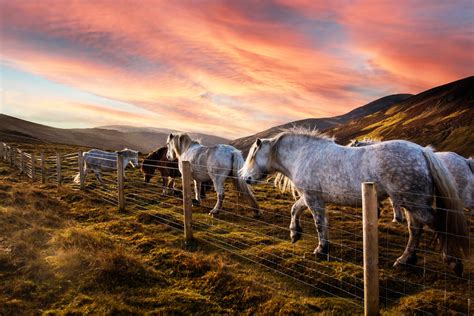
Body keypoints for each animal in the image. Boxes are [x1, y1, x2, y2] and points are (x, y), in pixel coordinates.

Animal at [243, 130, 468, 276]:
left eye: (253, 156)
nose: (246, 178)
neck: (303, 155)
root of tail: (422, 151)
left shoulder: (313, 199)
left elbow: (319, 224)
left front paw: (321, 249)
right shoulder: (310, 197)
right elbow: (295, 209)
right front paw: (294, 233)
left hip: (416, 204)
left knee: (438, 226)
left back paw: (453, 262)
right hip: (411, 205)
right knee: (415, 230)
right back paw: (406, 259)